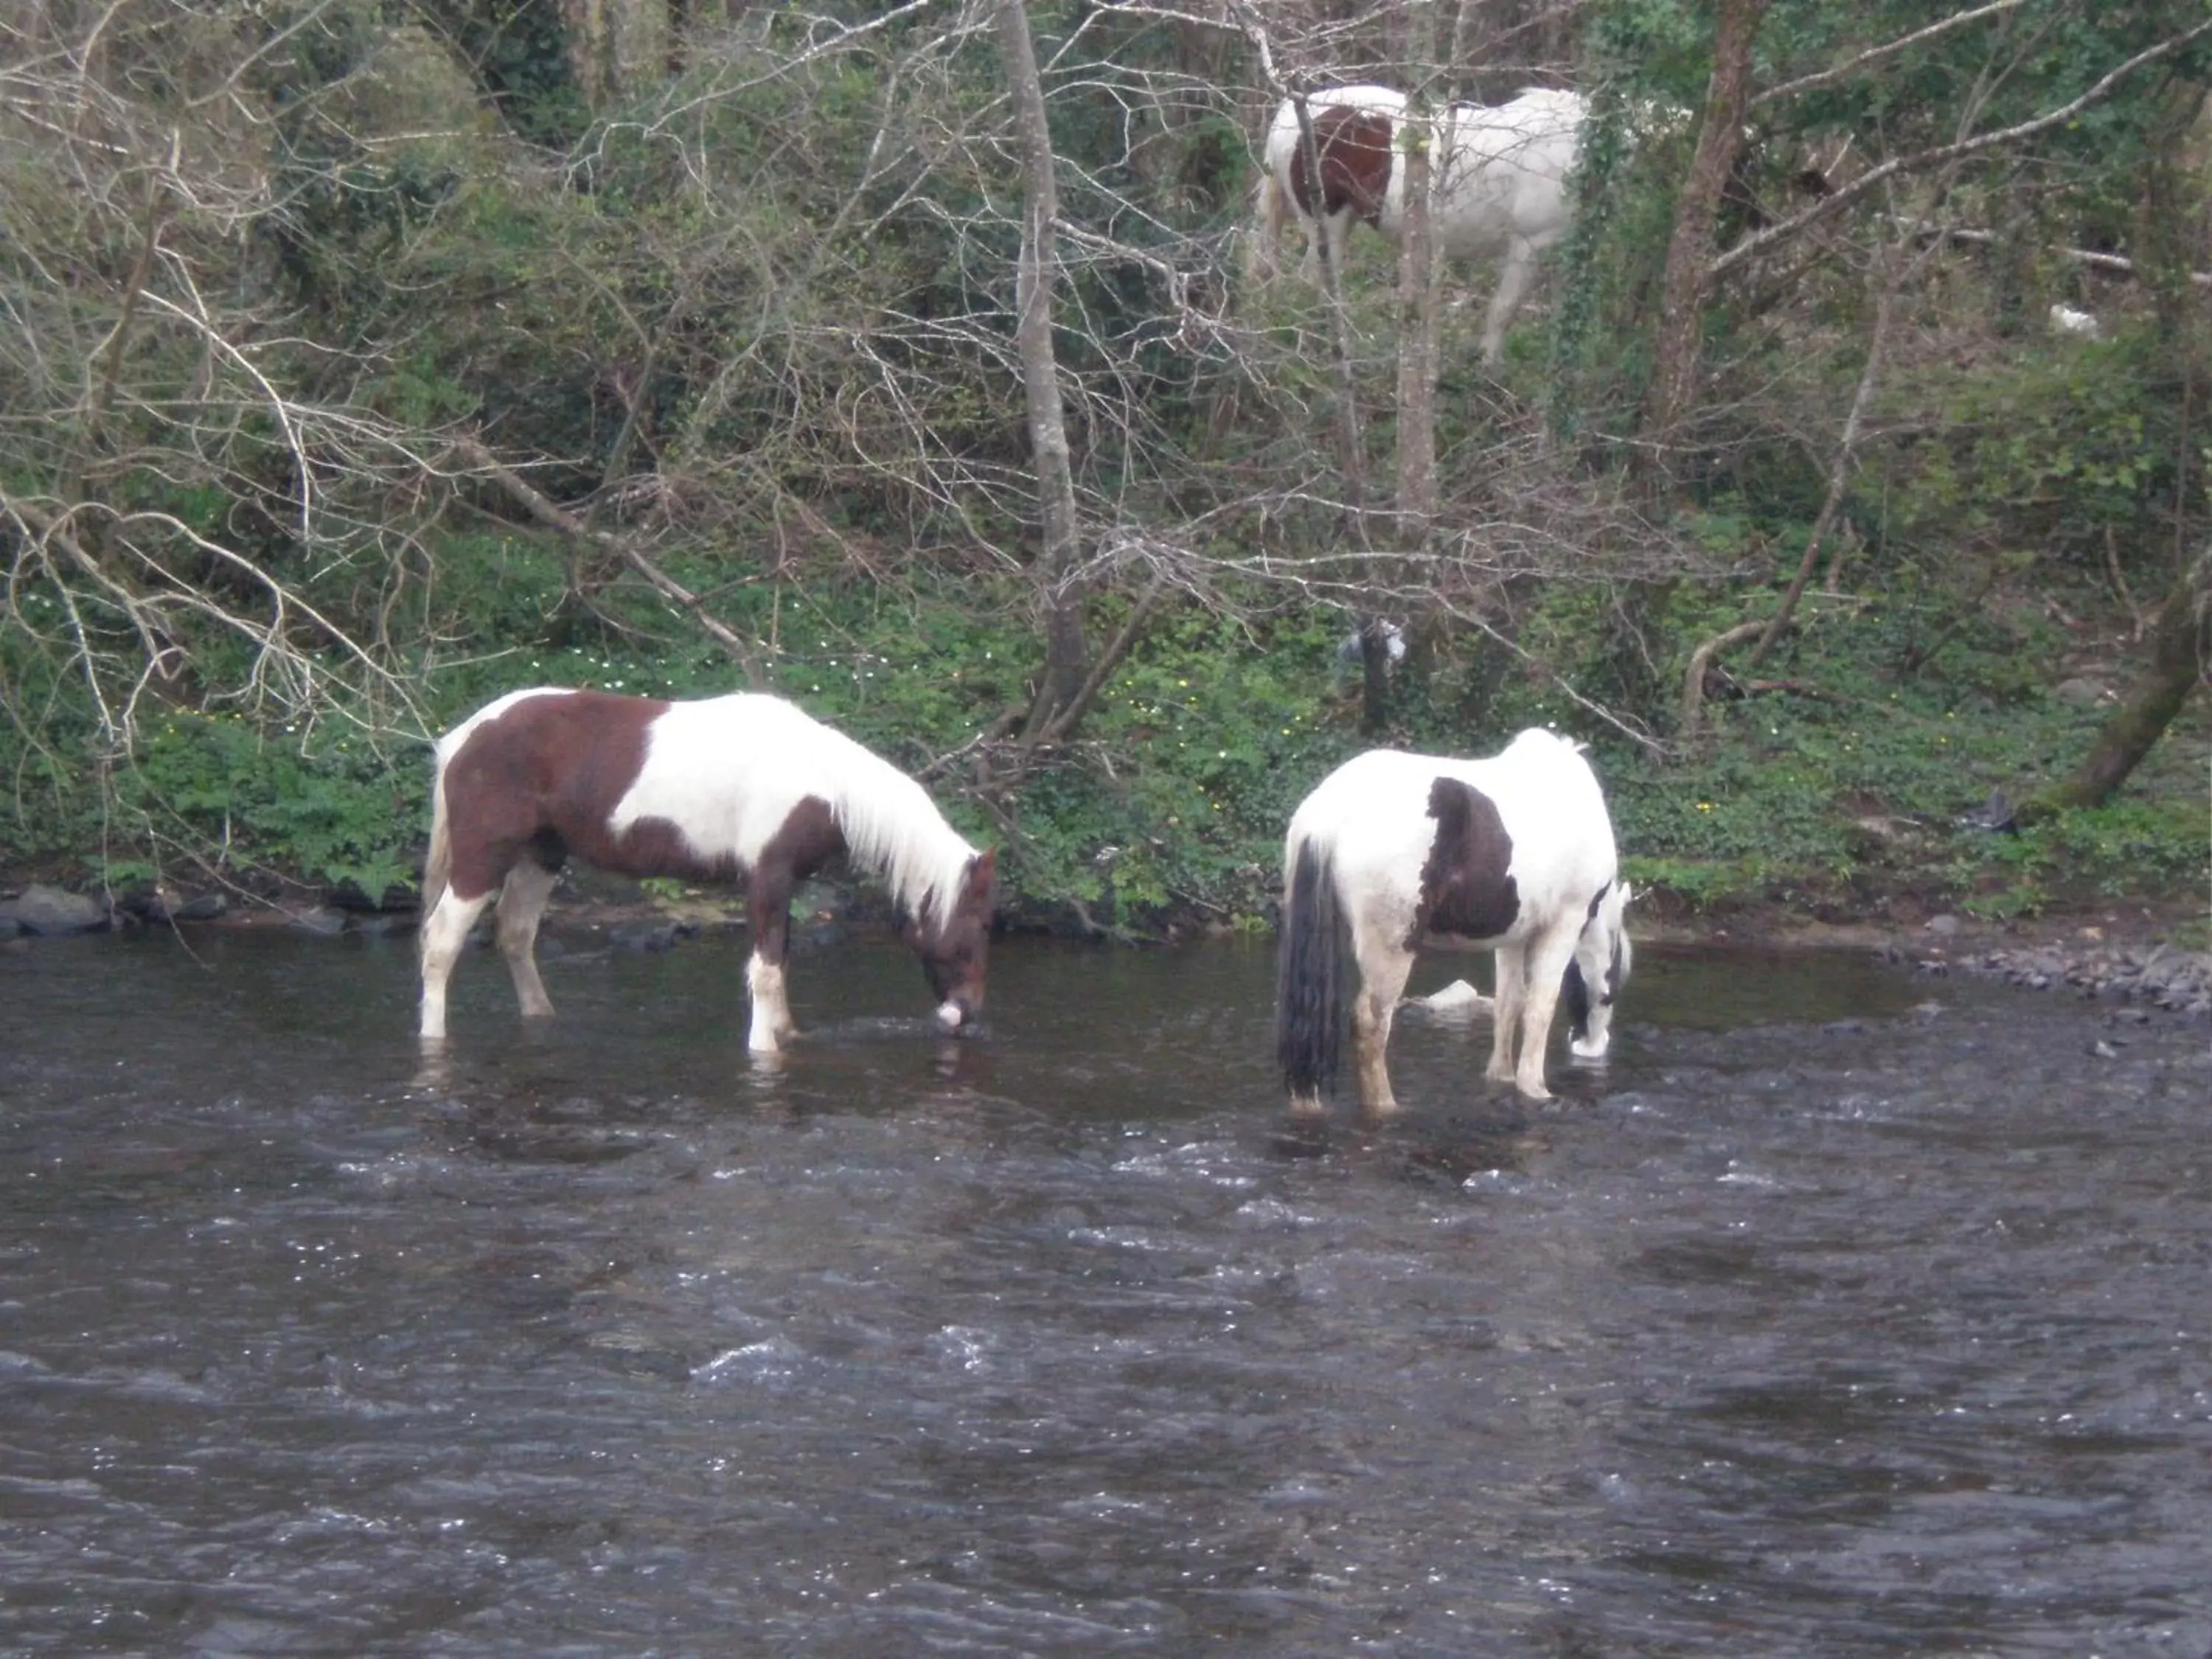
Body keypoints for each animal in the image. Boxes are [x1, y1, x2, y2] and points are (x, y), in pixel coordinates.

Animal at [414, 690, 995, 1053]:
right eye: (975, 929)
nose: (967, 1015)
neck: (822, 782)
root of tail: (463, 738)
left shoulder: (786, 886)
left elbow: (780, 962)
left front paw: (787, 1035)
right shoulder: (766, 878)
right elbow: (765, 971)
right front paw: (763, 1047)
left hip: (541, 855)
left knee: (515, 934)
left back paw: (541, 1017)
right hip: (482, 859)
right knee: (440, 943)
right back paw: (433, 1036)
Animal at [1248, 84, 1593, 363]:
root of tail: (1290, 113)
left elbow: (1564, 321)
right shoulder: (1530, 245)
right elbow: (1503, 310)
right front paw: (1487, 369)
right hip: (1327, 223)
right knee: (1318, 281)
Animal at [1274, 739, 1637, 1119]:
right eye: (1614, 983)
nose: (1591, 1047)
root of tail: (1327, 814)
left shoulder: (1512, 937)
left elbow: (1509, 1003)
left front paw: (1502, 1077)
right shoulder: (1564, 925)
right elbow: (1540, 1008)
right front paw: (1535, 1090)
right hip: (1391, 948)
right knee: (1371, 1024)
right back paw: (1385, 1106)